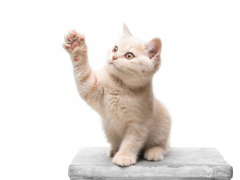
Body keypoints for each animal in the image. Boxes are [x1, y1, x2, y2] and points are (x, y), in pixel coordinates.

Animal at [62, 24, 171, 167]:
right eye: (115, 49)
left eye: (129, 56)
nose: (114, 57)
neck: (119, 86)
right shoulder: (89, 86)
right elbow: (83, 73)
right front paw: (76, 46)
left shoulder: (139, 123)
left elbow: (131, 141)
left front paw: (124, 156)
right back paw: (114, 149)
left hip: (164, 121)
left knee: (163, 145)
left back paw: (154, 152)